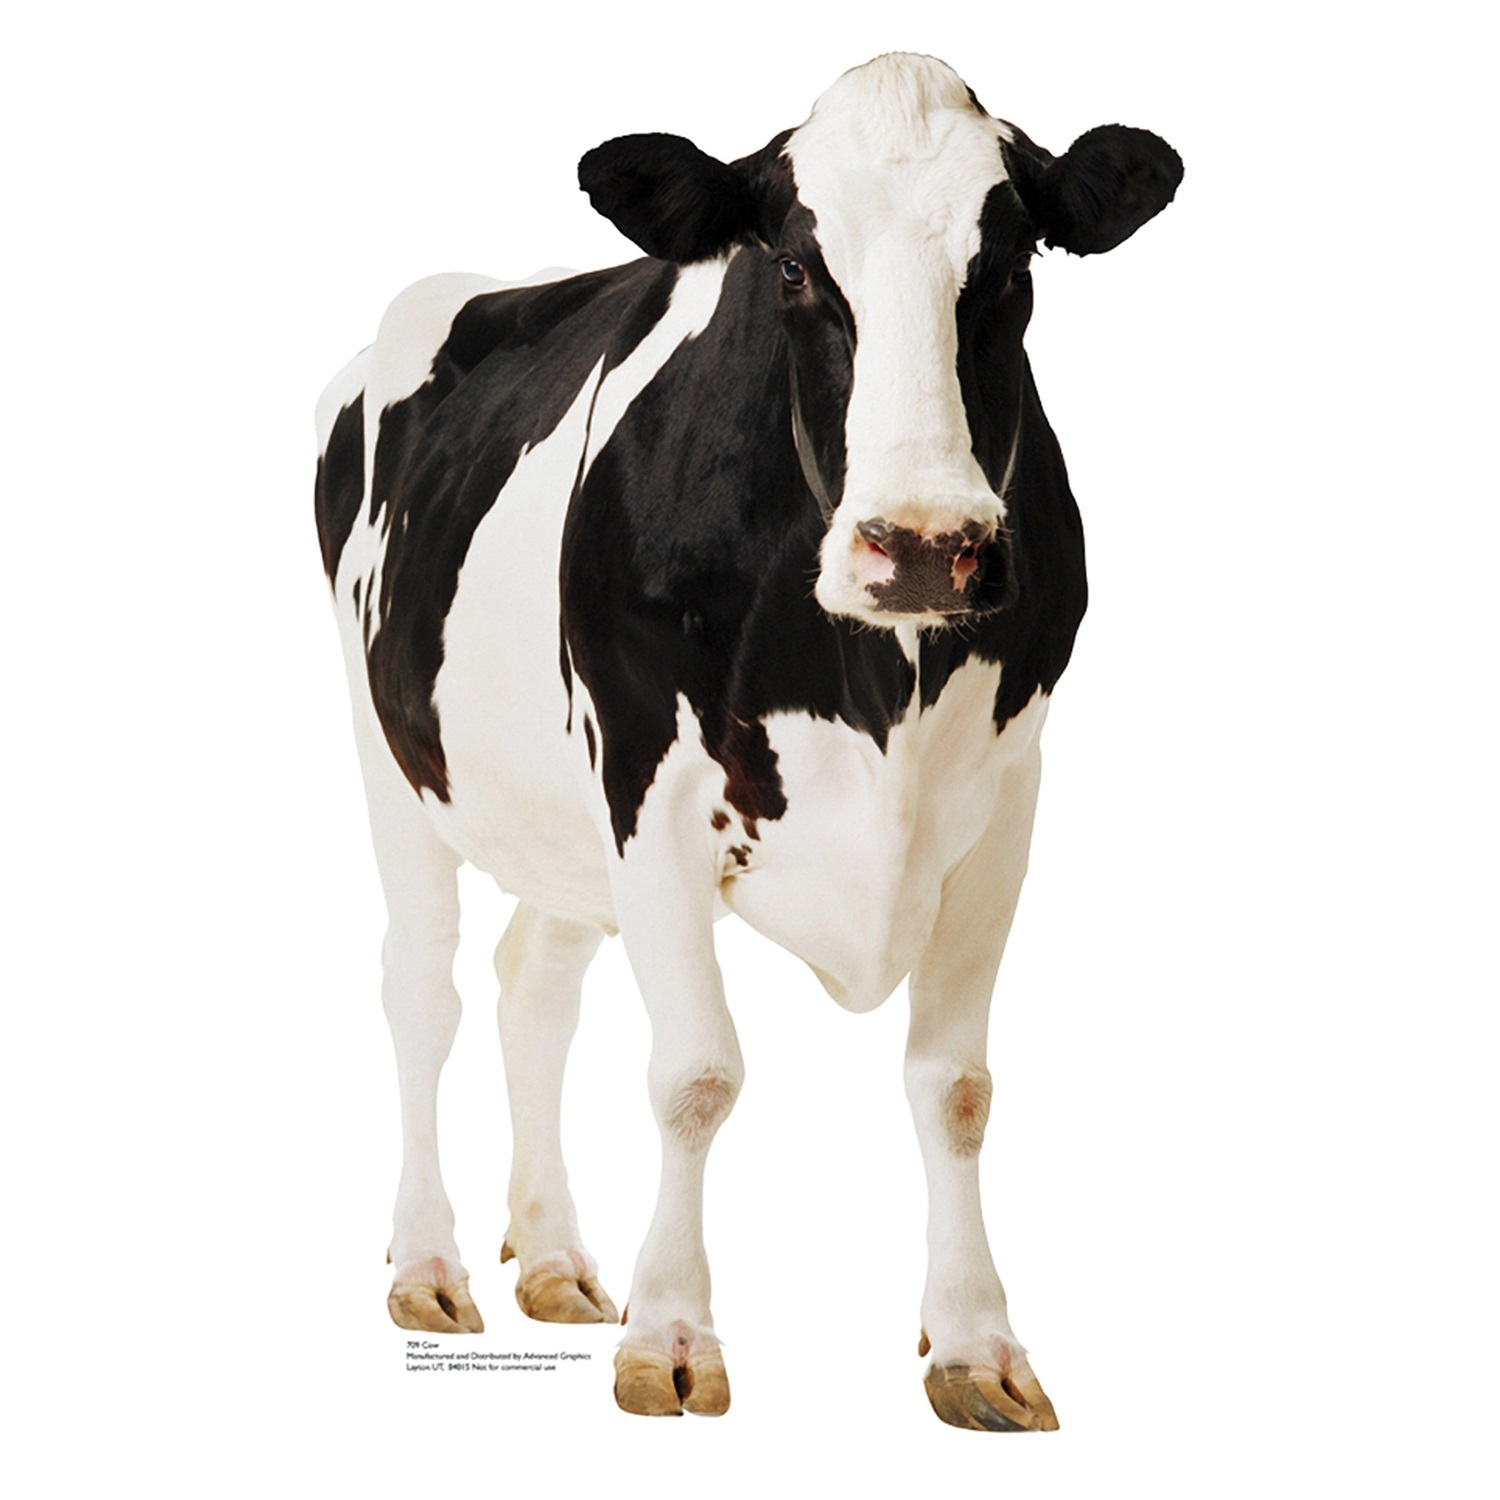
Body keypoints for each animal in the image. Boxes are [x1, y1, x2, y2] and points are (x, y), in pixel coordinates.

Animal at [314, 52, 1181, 1430]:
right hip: (390, 748)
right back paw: (429, 1265)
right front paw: (671, 1335)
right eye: (791, 268)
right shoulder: (648, 786)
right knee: (421, 988)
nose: (924, 544)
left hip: (559, 816)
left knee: (532, 986)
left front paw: (977, 1344)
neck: (876, 676)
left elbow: (957, 1086)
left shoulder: (1006, 801)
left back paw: (551, 1258)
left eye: (1012, 264)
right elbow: (696, 1074)